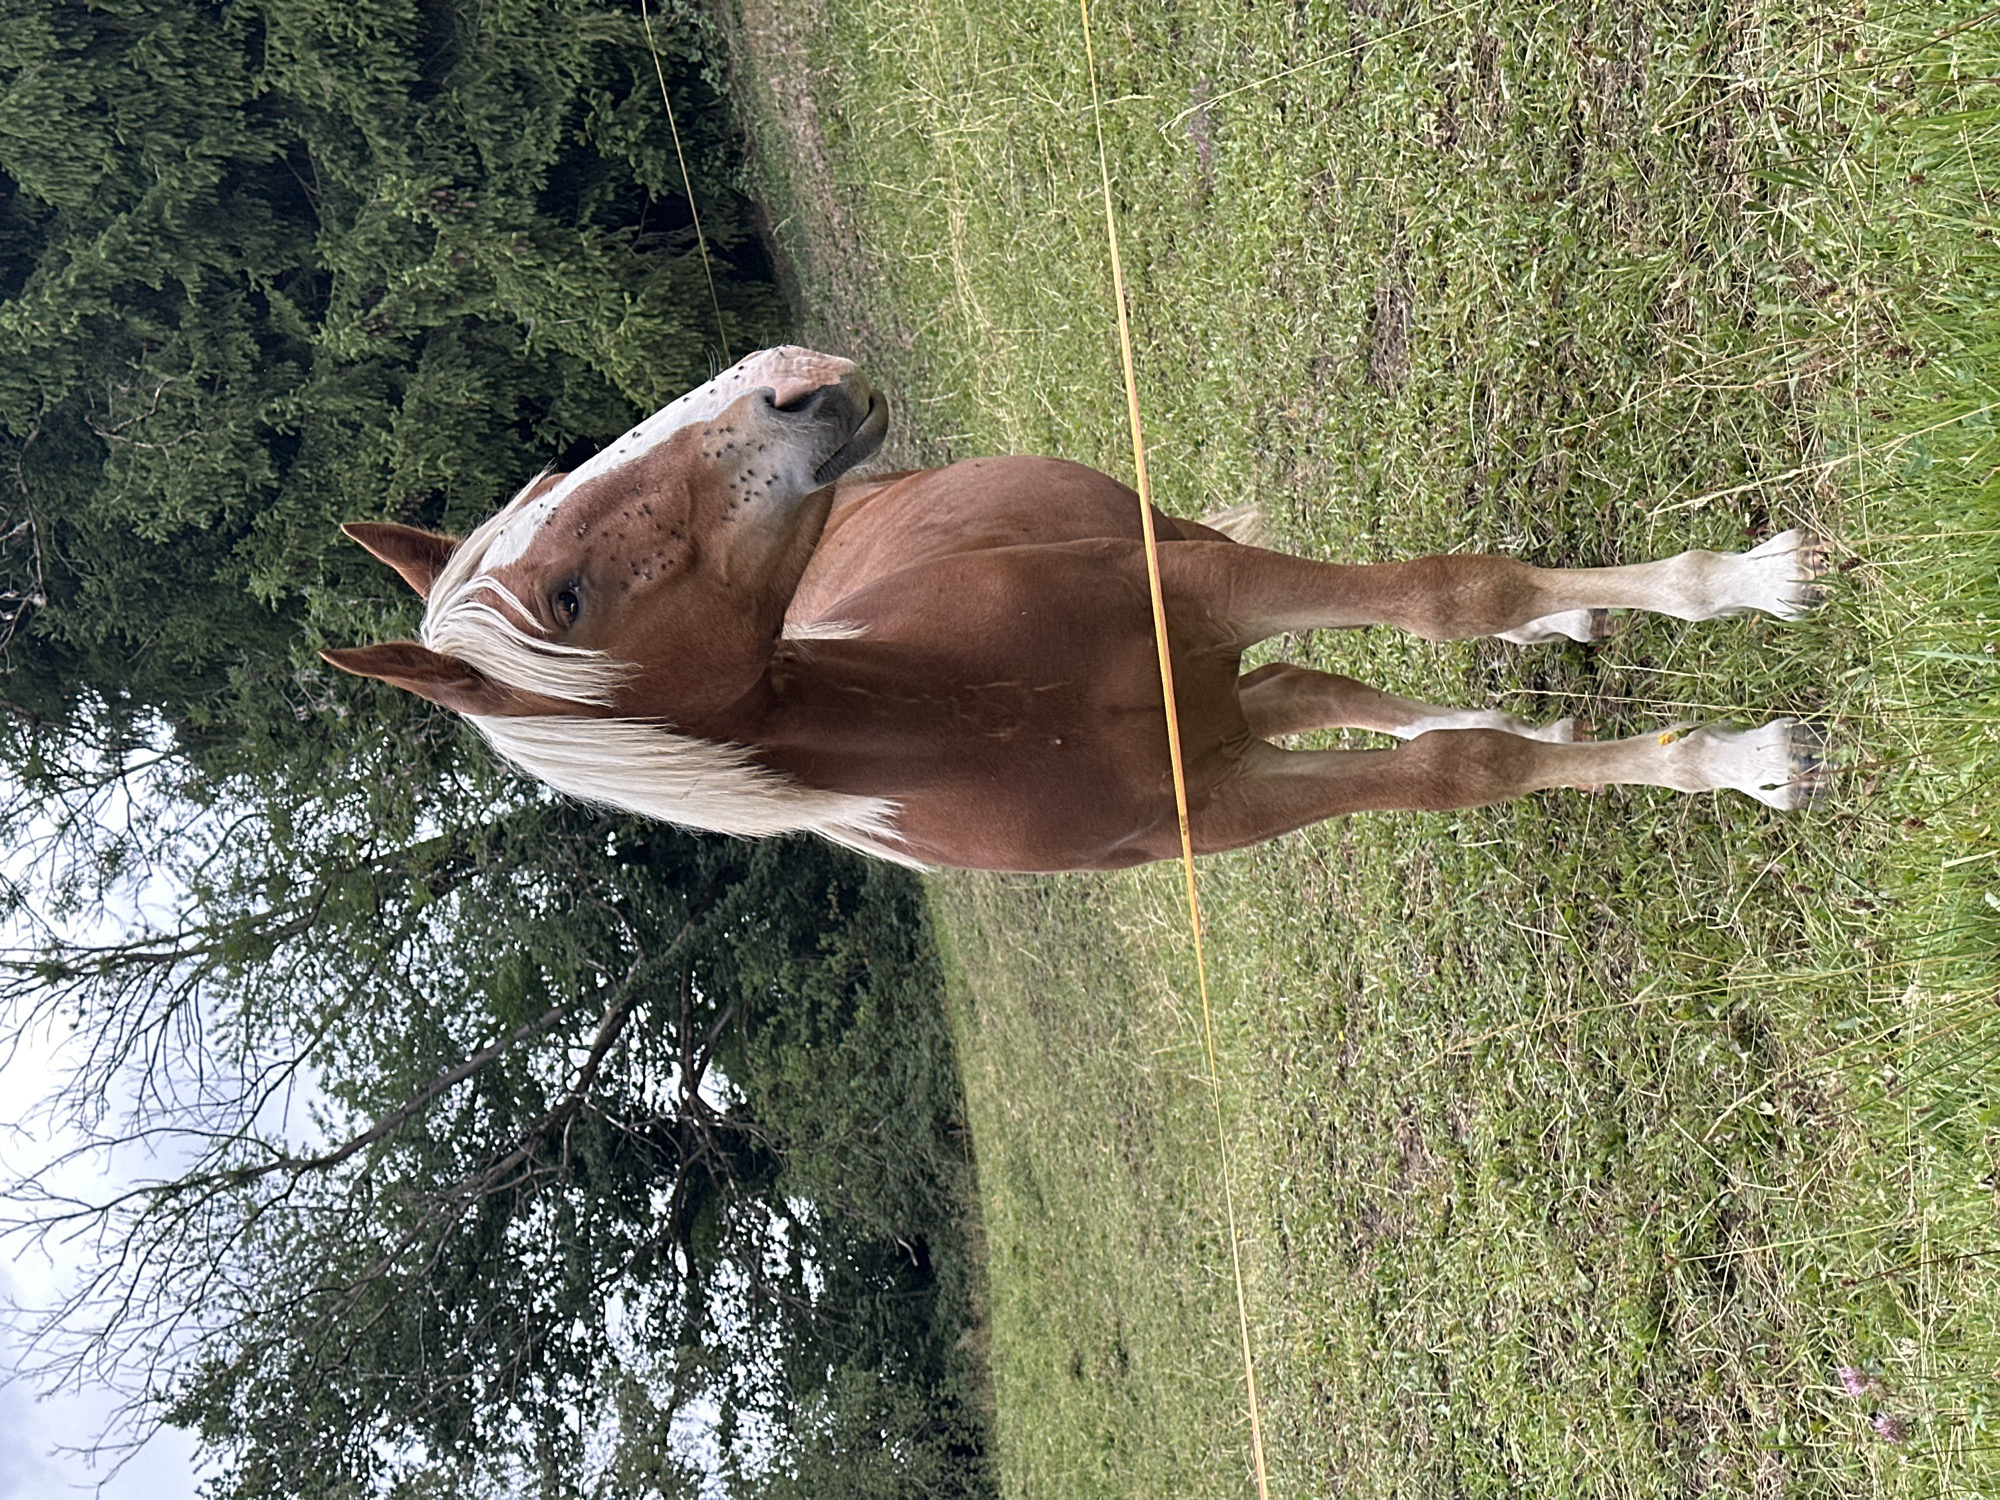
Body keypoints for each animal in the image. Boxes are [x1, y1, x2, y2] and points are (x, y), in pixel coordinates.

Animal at [323, 346, 1825, 872]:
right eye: (566, 595)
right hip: (1223, 705)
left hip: (1178, 551)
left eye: (552, 482)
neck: (987, 717)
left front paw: (1742, 596)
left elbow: (1456, 595)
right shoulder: (1223, 804)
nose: (788, 386)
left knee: (1335, 669)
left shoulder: (1198, 587)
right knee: (1316, 694)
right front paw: (1728, 757)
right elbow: (1464, 767)